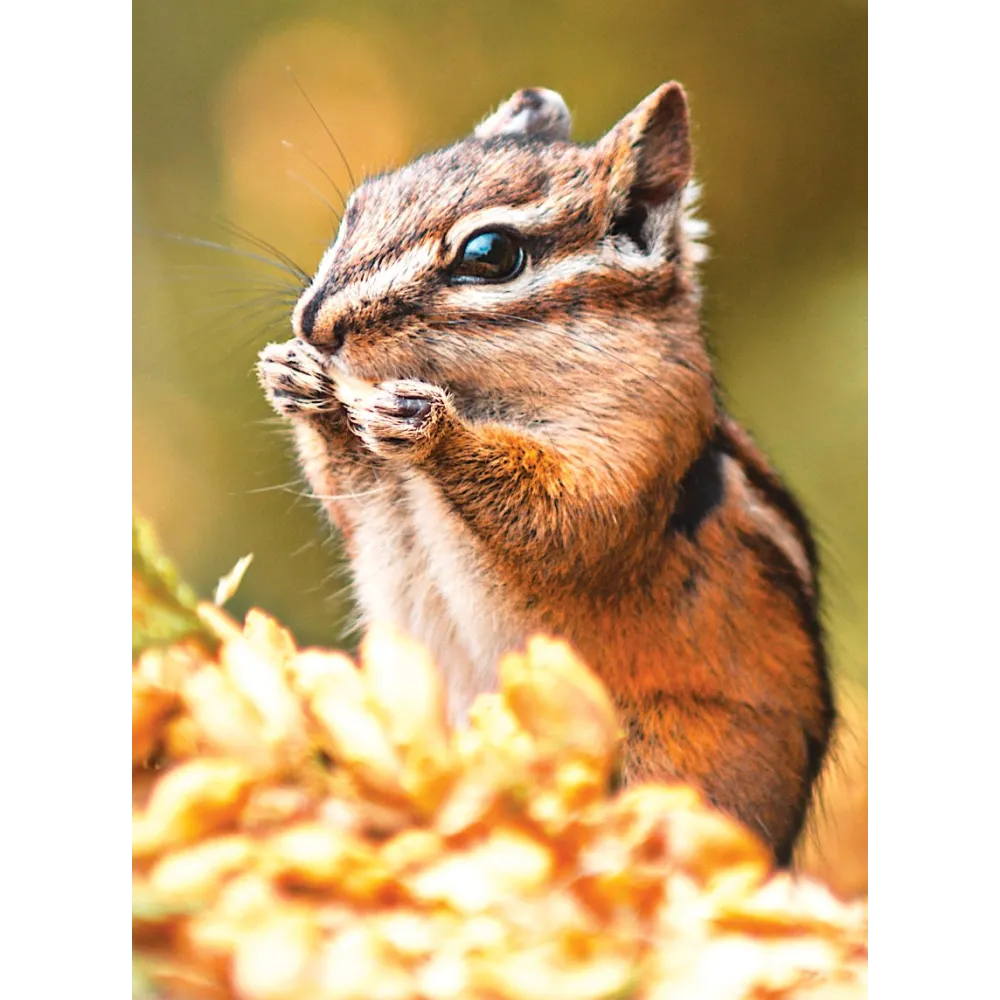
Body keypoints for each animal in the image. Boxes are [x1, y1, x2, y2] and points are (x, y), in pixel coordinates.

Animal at [257, 83, 834, 865]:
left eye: (490, 253)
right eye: (361, 203)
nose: (314, 322)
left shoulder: (640, 440)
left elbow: (570, 522)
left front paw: (430, 427)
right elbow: (345, 492)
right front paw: (294, 377)